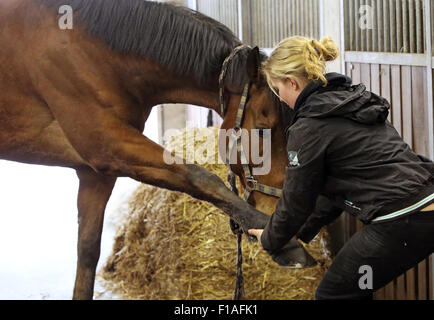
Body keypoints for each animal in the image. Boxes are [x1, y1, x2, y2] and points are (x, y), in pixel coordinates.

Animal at [0, 0, 316, 300]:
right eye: (263, 128)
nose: (278, 210)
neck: (90, 50)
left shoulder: (95, 171)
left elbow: (87, 251)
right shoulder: (106, 145)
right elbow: (199, 177)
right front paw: (285, 244)